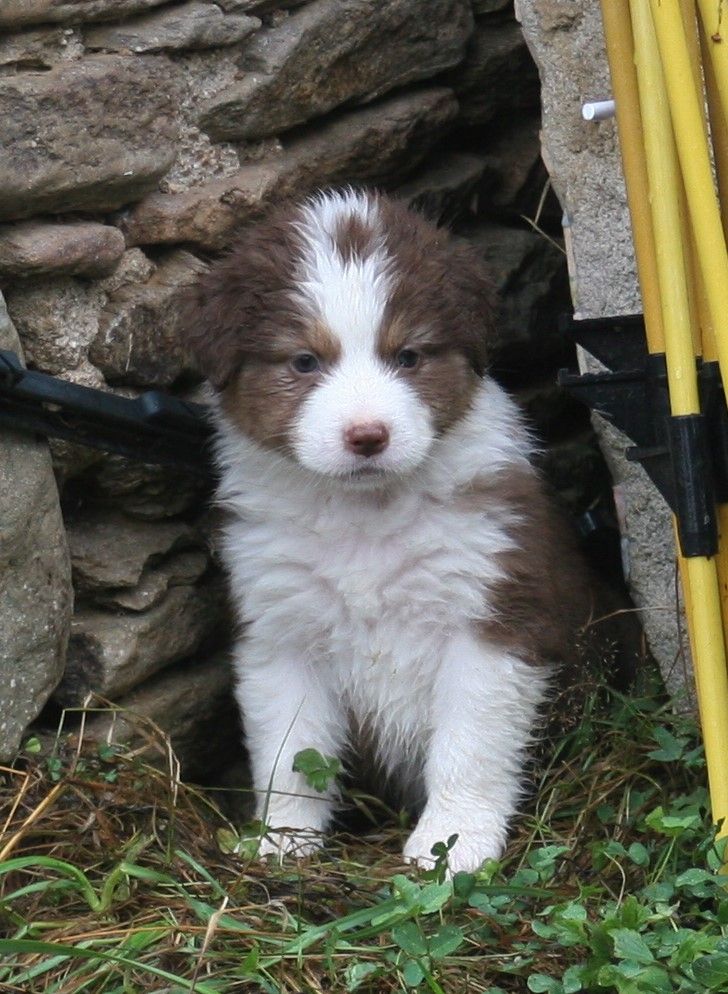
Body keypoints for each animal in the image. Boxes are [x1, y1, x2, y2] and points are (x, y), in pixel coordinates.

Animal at [184, 188, 608, 874]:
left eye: (407, 356)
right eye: (304, 361)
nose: (368, 436)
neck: (367, 514)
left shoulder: (492, 618)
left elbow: (468, 747)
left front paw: (453, 844)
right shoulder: (280, 631)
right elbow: (289, 754)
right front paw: (281, 841)